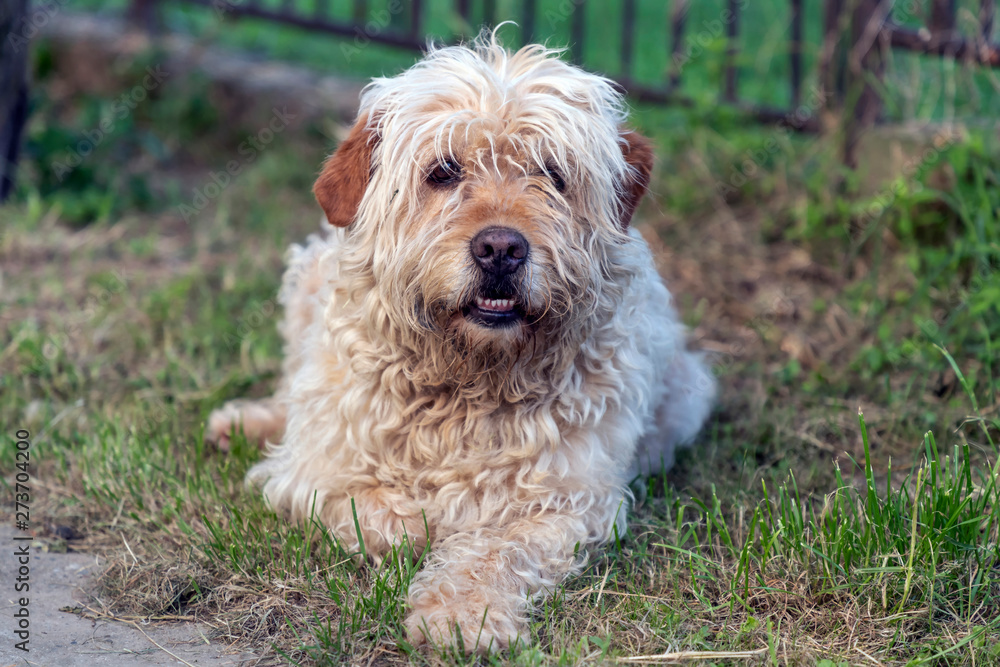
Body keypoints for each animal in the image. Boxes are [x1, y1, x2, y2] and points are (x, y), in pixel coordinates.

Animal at [207, 34, 716, 656]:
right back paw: (244, 423)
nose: (500, 249)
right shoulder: (319, 475)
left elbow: (493, 548)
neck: (468, 380)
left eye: (552, 173)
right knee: (287, 395)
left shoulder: (569, 504)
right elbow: (391, 518)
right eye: (444, 172)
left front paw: (462, 613)